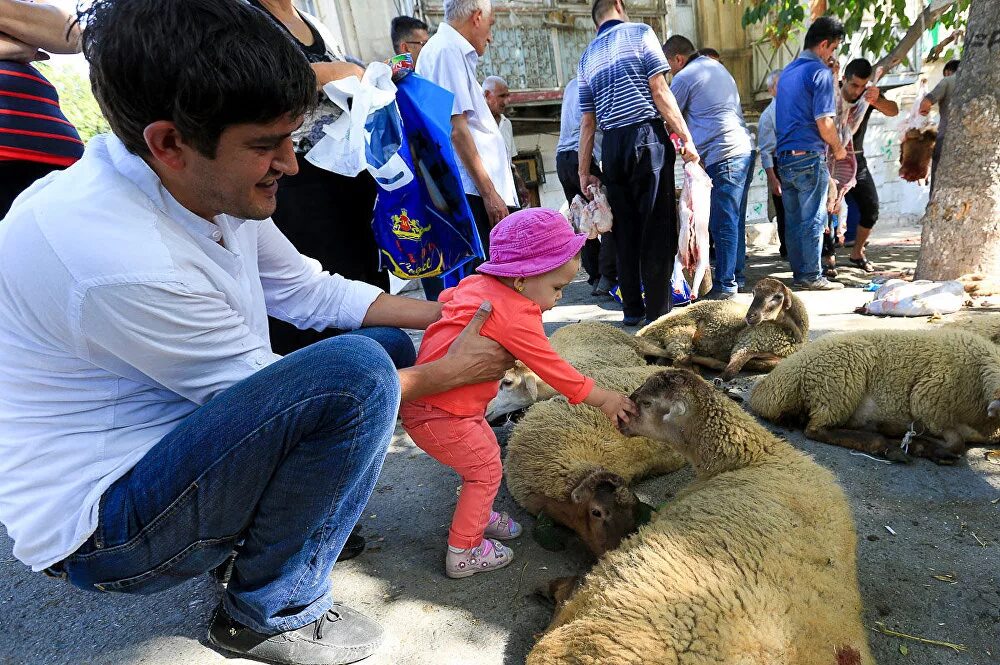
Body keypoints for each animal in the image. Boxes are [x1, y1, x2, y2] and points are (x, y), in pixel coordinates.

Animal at [636, 274, 808, 378]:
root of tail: (642, 332)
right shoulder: (745, 344)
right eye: (753, 293)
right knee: (681, 361)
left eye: (777, 297)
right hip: (680, 332)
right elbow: (731, 370)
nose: (749, 316)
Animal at [752, 326, 1000, 462]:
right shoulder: (928, 402)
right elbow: (956, 442)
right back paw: (885, 444)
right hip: (839, 383)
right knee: (816, 430)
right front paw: (933, 449)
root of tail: (766, 391)